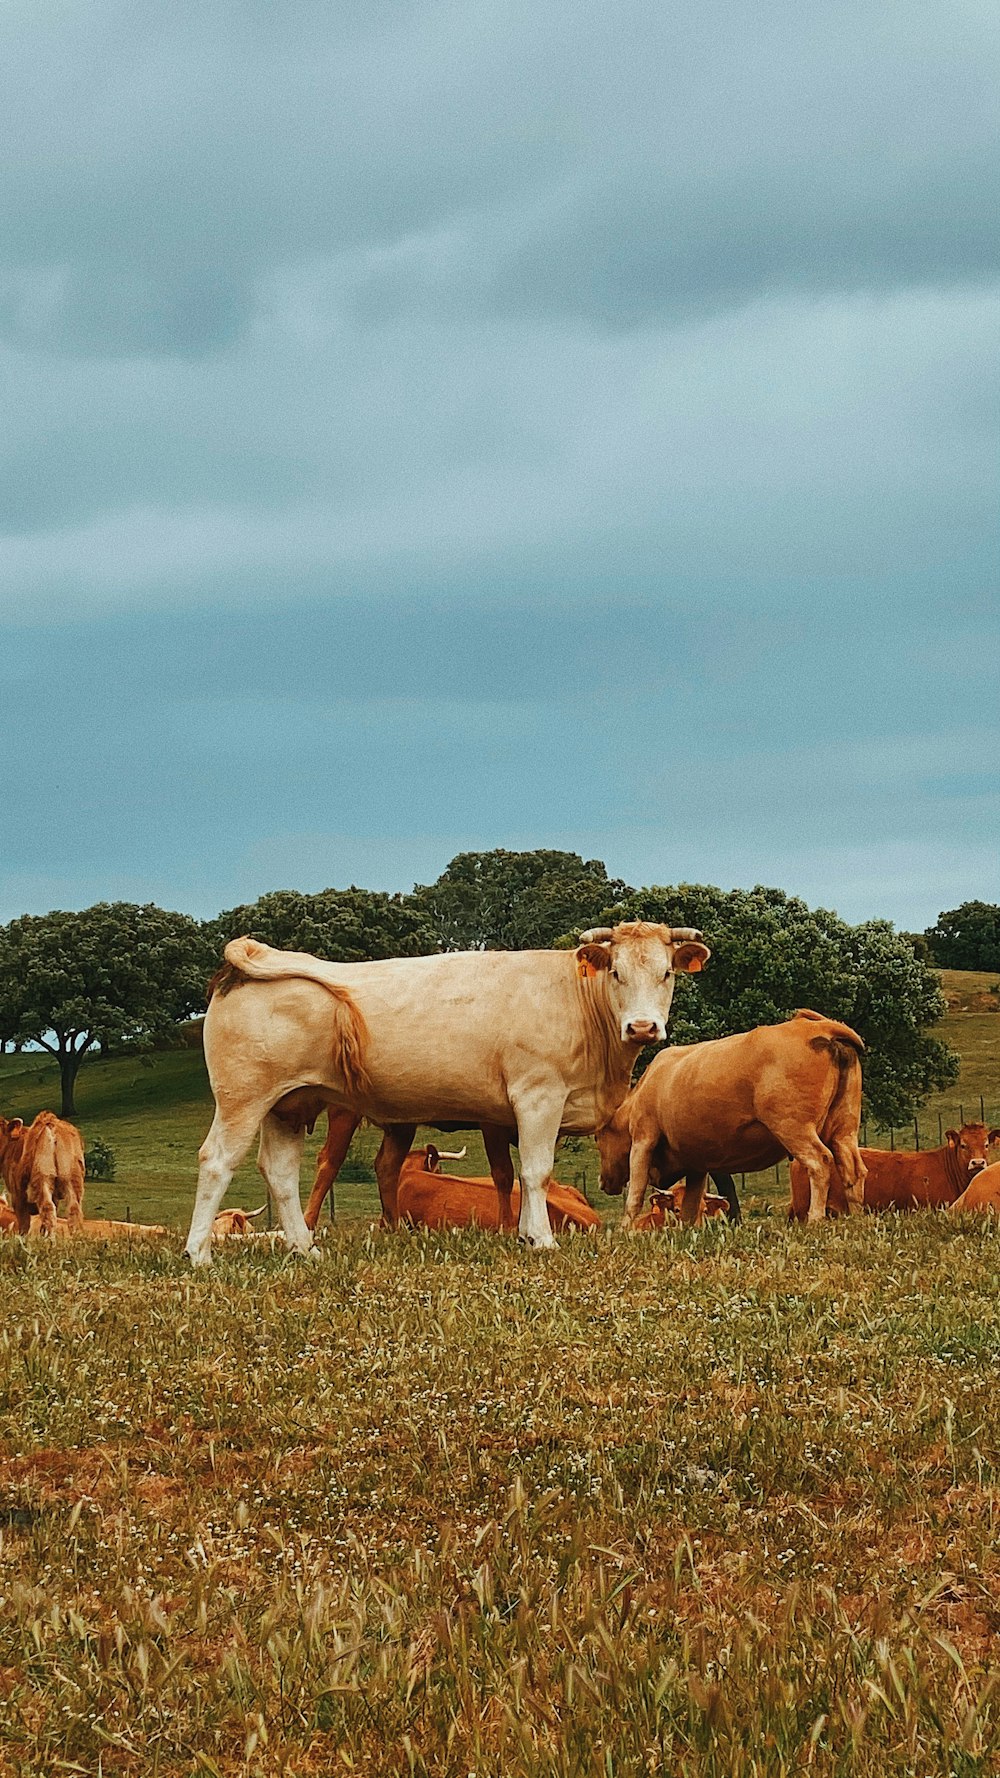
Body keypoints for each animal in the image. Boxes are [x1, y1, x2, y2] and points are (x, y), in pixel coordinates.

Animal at [0, 1109, 84, 1237]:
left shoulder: (18, 1196)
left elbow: (24, 1225)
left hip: (42, 1177)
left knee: (48, 1208)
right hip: (72, 1178)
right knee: (73, 1210)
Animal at [590, 1009, 864, 1230]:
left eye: (598, 1137)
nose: (602, 1181)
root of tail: (820, 1027)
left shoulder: (643, 1138)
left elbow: (635, 1193)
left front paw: (625, 1230)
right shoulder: (696, 1162)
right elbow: (690, 1206)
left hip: (792, 1126)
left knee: (819, 1162)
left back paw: (815, 1218)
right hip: (844, 1128)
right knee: (853, 1168)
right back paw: (857, 1216)